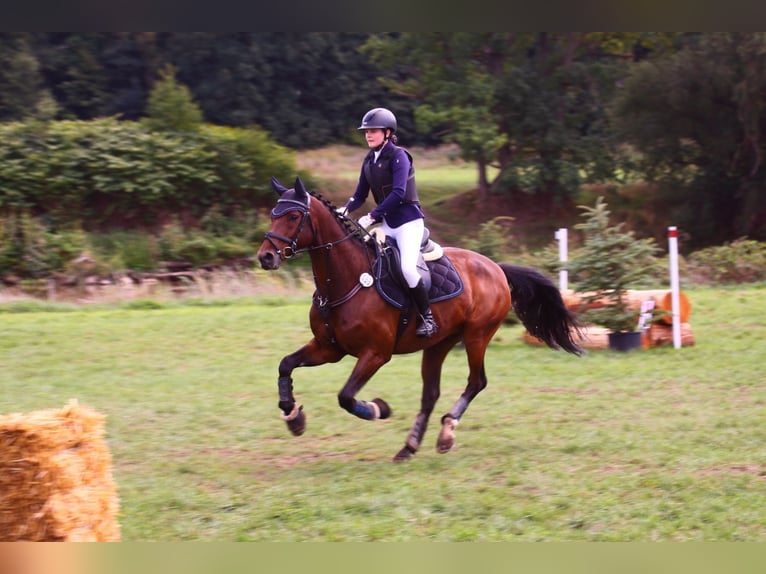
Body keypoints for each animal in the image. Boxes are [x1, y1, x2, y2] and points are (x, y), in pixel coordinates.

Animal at [256, 177, 584, 464]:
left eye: (294, 216)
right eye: (273, 215)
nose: (265, 258)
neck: (344, 280)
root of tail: (496, 268)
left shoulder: (375, 354)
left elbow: (346, 396)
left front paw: (378, 409)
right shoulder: (328, 348)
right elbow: (285, 364)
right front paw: (293, 416)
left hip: (477, 335)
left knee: (476, 381)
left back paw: (447, 432)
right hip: (440, 343)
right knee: (431, 394)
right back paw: (409, 447)